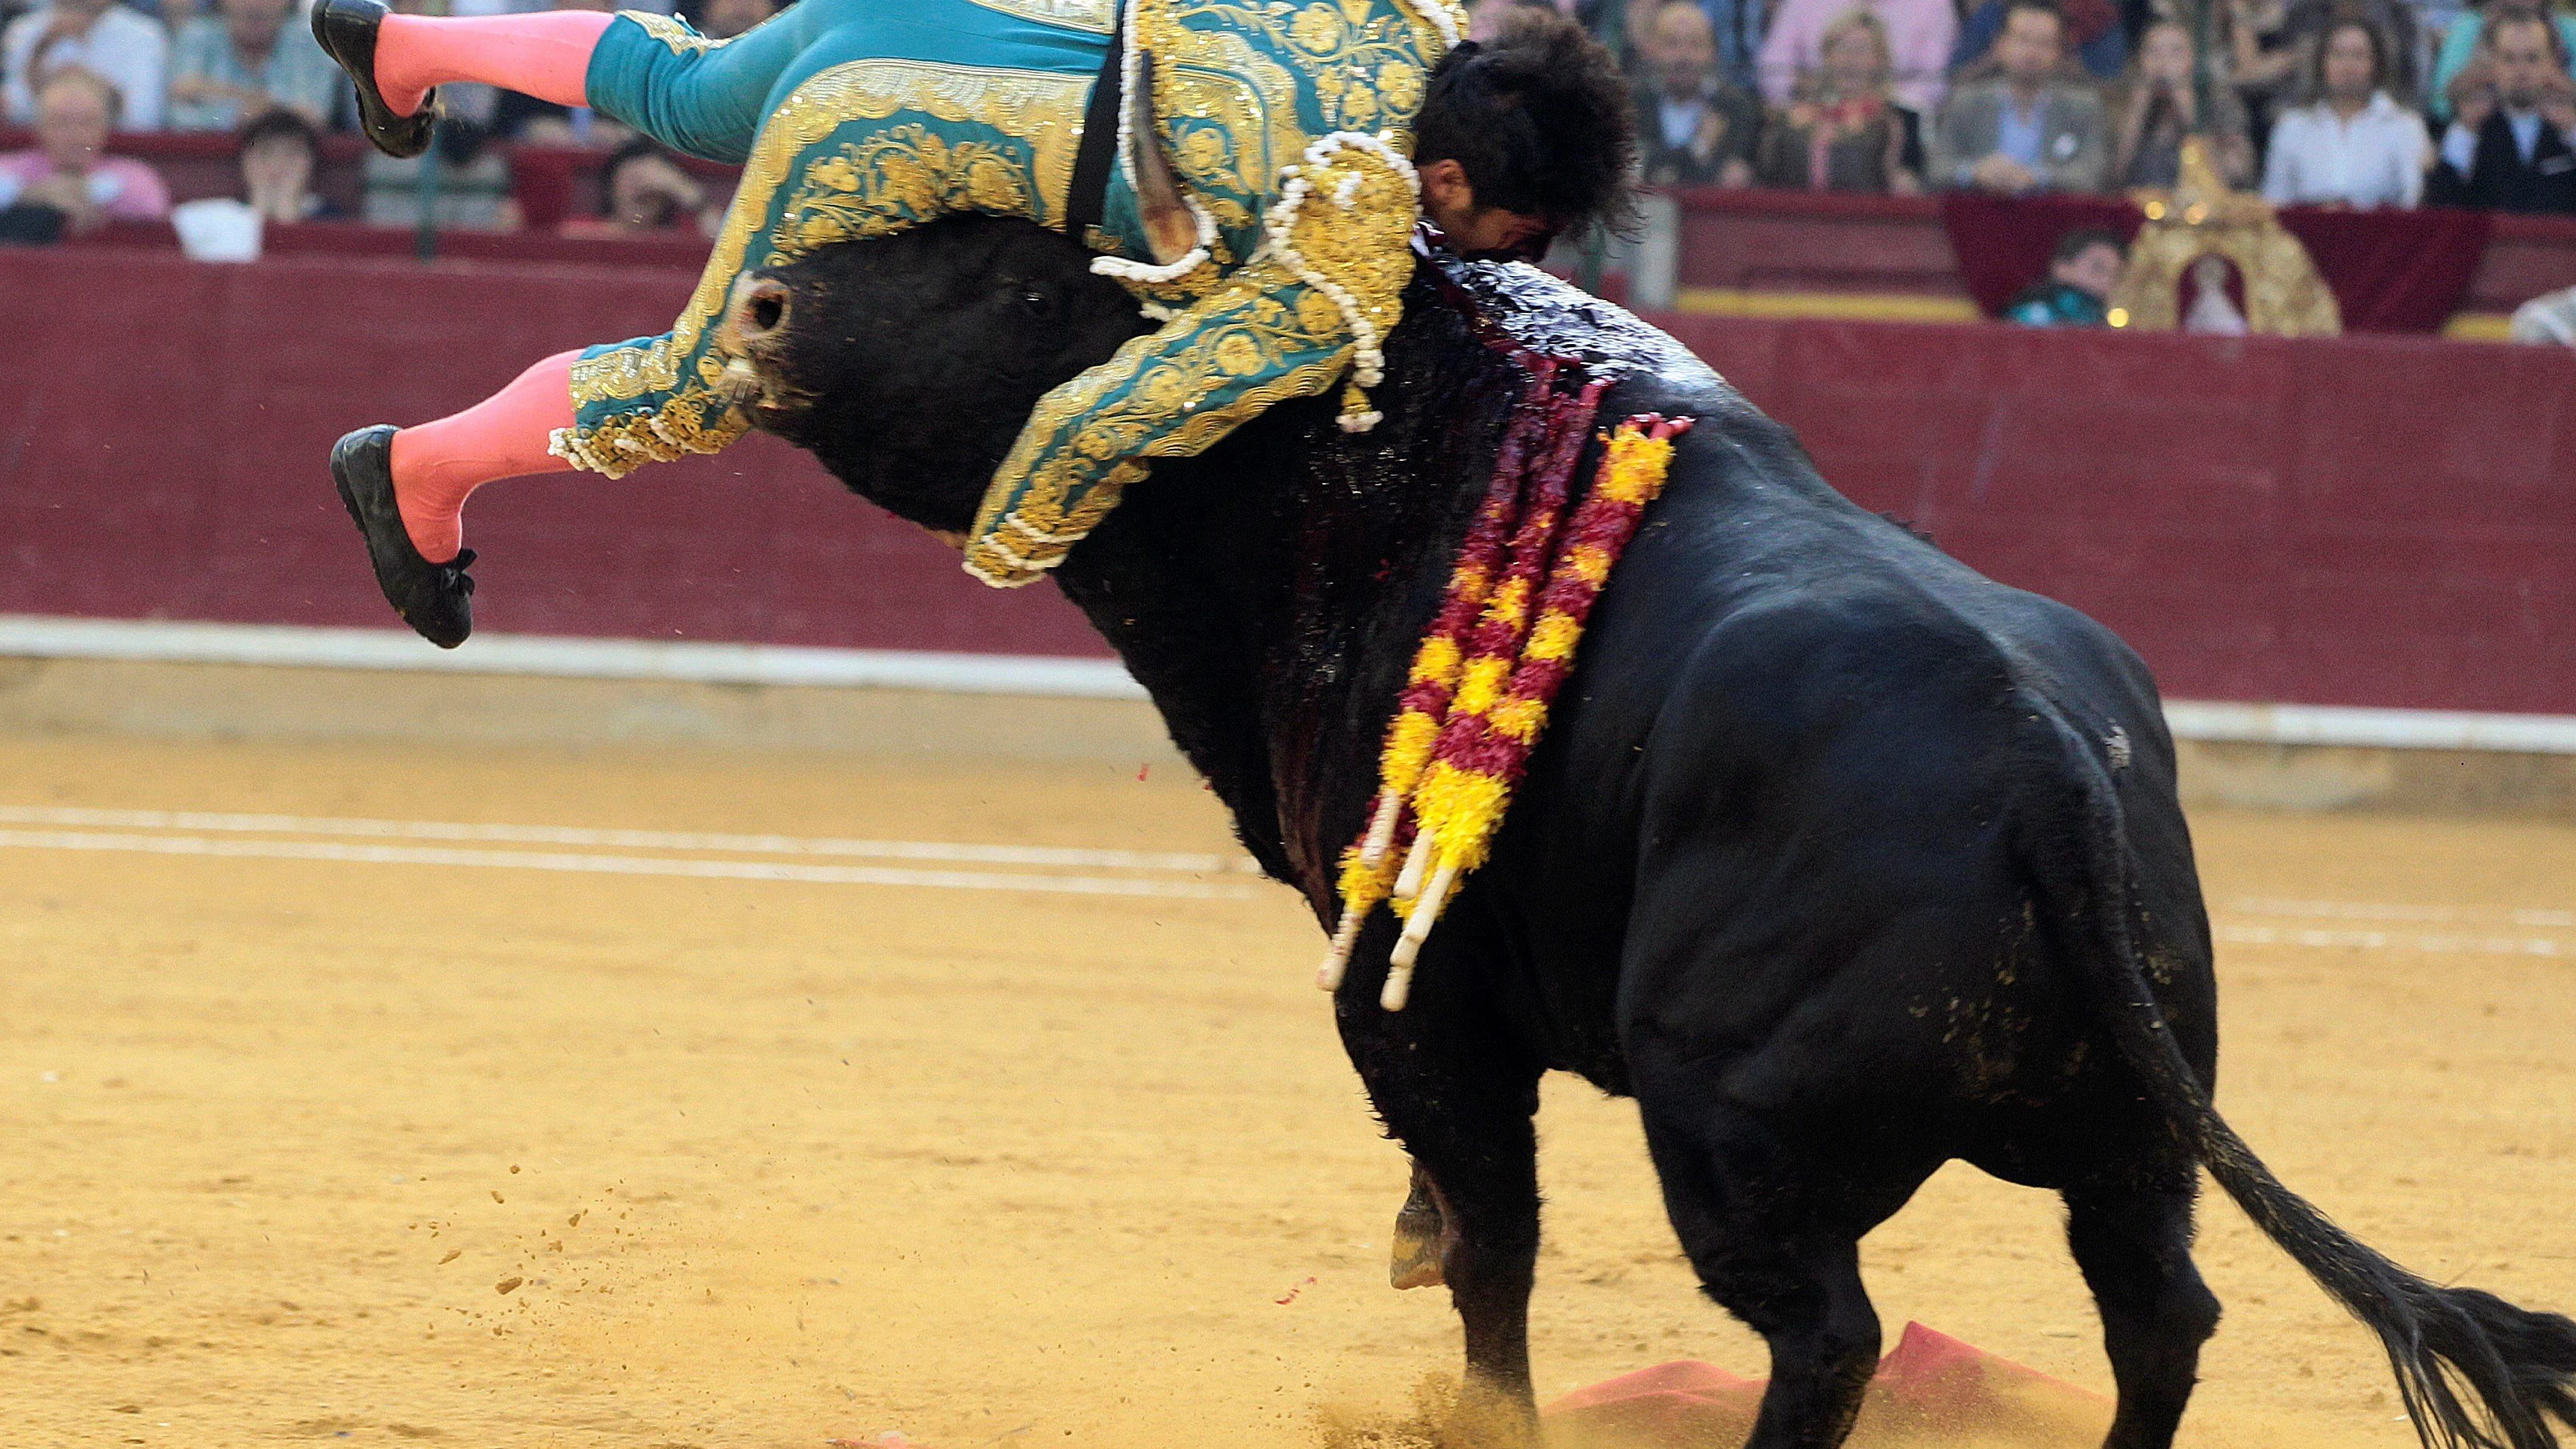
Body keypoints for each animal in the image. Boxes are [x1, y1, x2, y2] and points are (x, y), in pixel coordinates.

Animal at [710, 214, 2576, 1443]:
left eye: (1009, 275)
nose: (765, 304)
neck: (1378, 451)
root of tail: (2042, 756)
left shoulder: (1408, 995)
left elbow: (1492, 1234)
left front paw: (1471, 1397)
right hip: (2126, 1131)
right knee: (2159, 1312)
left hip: (1731, 1133)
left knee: (1829, 1332)